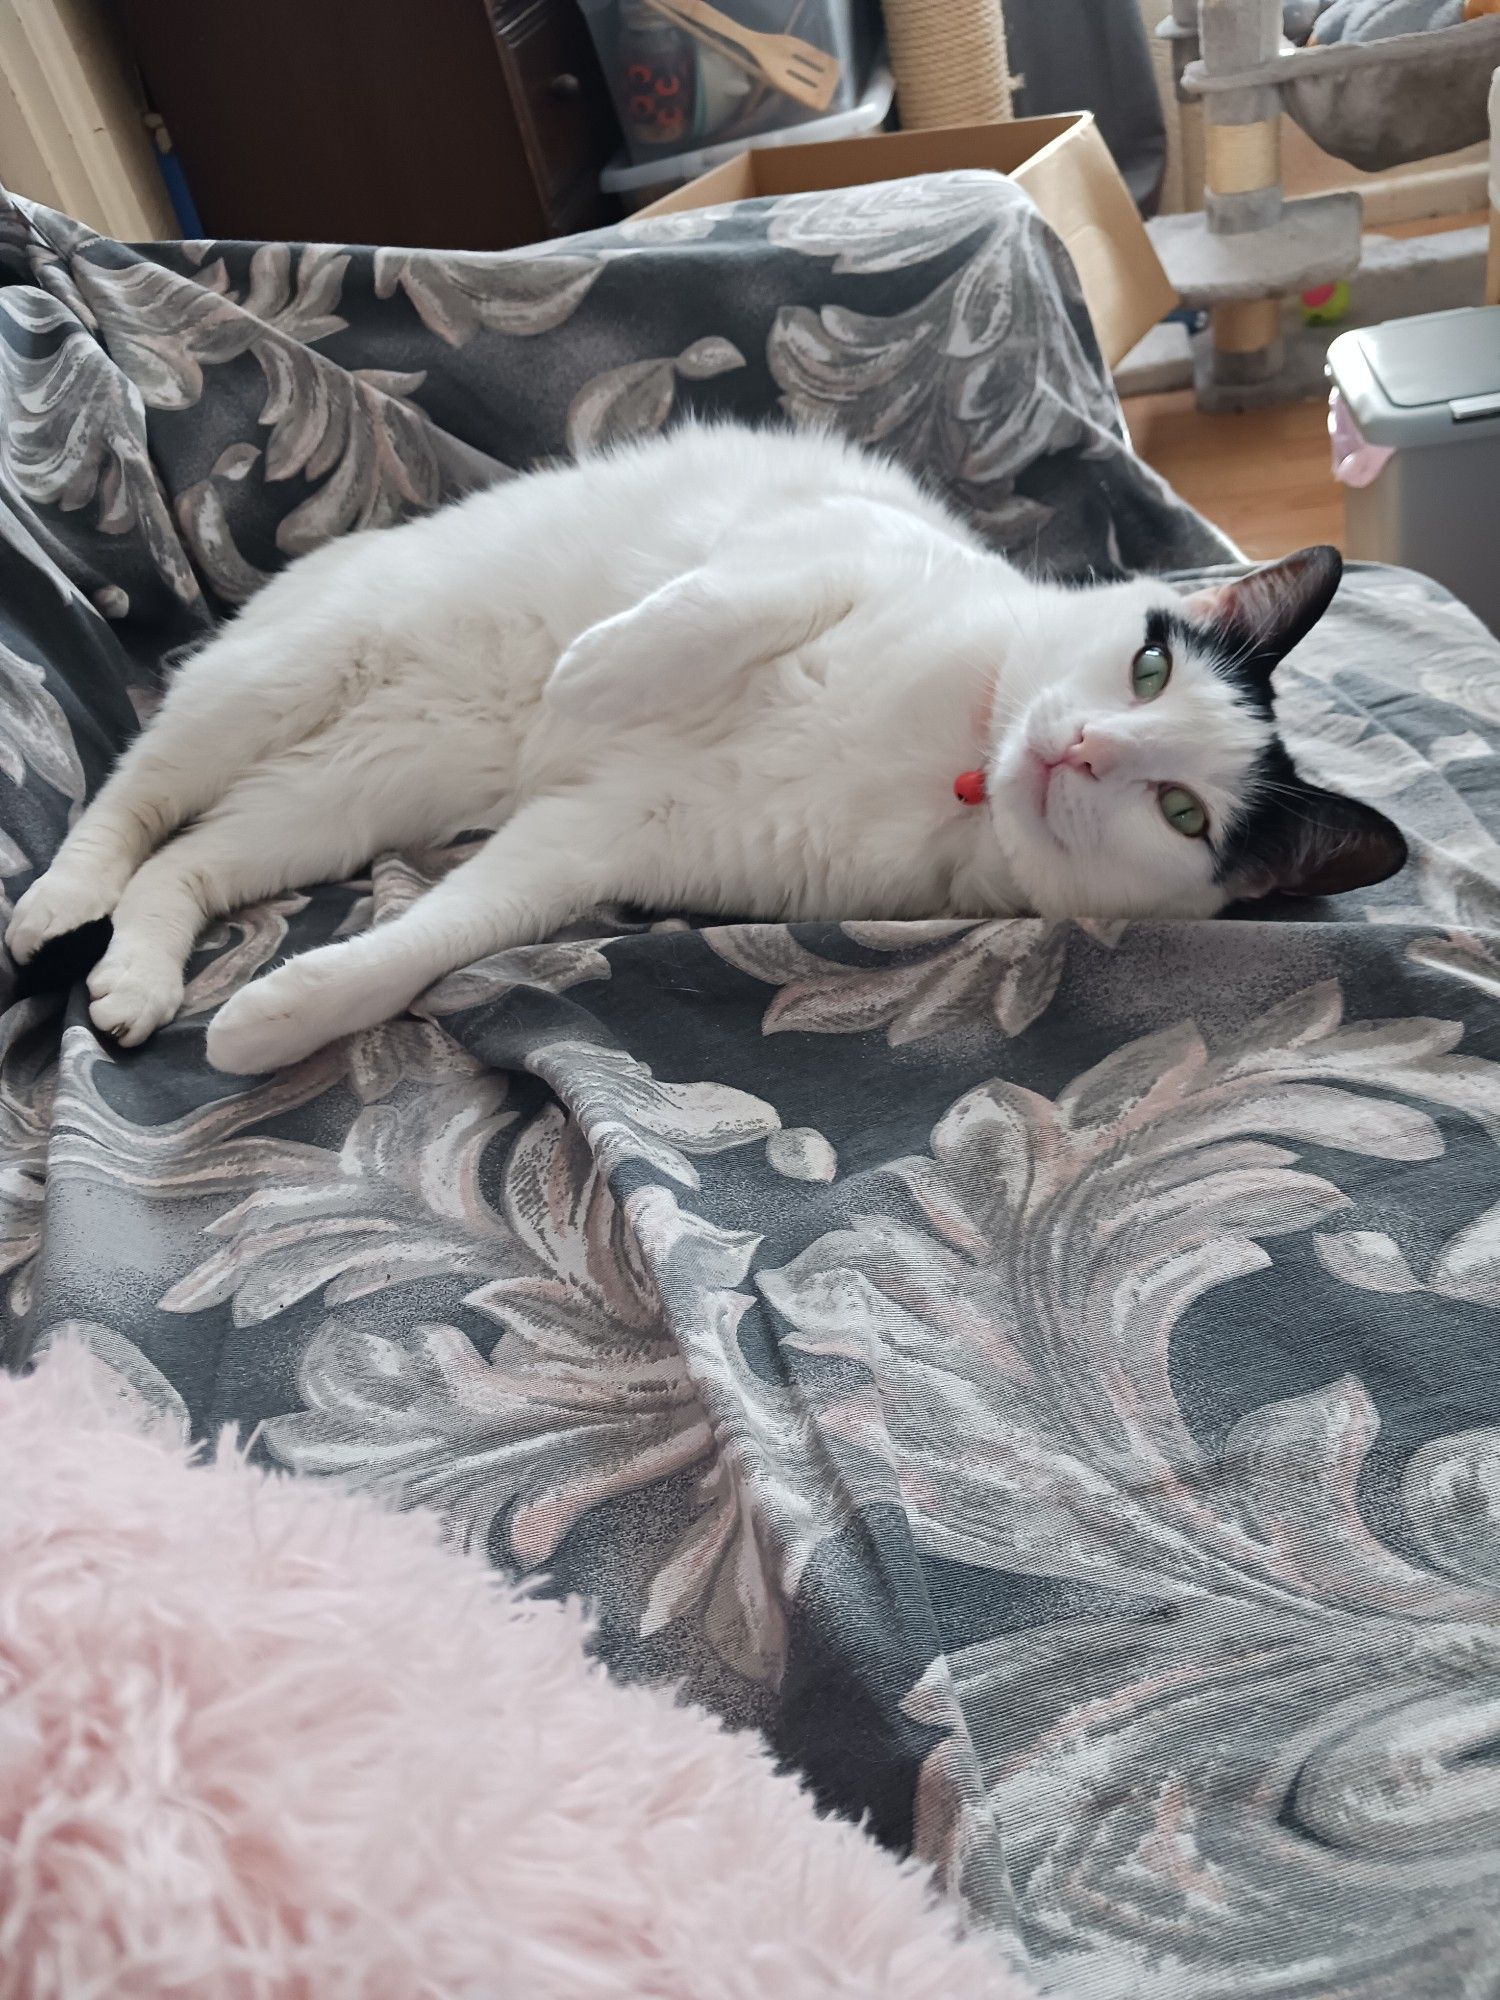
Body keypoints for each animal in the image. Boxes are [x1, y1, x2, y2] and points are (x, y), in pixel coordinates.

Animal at [5, 424, 1408, 1080]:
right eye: (1148, 667)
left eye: (1180, 811)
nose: (1073, 749)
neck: (950, 760)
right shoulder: (829, 542)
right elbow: (725, 608)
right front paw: (594, 676)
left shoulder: (593, 844)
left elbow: (439, 938)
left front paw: (283, 1014)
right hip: (280, 681)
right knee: (132, 802)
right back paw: (57, 907)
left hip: (341, 797)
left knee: (185, 861)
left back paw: (133, 982)